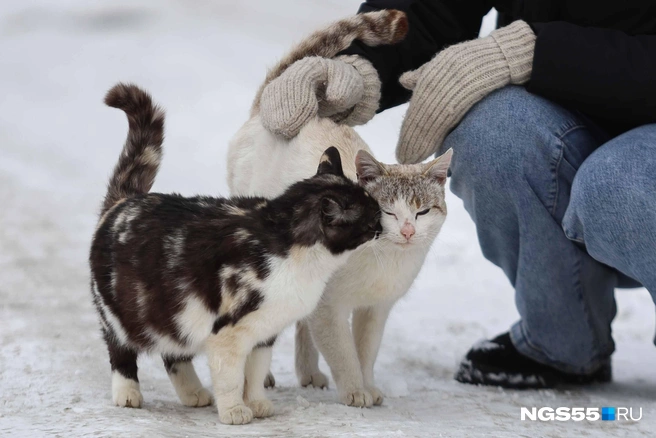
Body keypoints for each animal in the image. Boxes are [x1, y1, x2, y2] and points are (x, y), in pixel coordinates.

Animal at [89, 83, 382, 424]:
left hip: (172, 314)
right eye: (373, 217)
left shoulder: (265, 333)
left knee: (173, 353)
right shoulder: (227, 333)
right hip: (124, 313)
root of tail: (124, 201)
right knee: (120, 351)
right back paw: (128, 394)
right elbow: (230, 376)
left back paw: (193, 392)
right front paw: (234, 411)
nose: (384, 226)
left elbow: (254, 373)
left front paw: (256, 404)